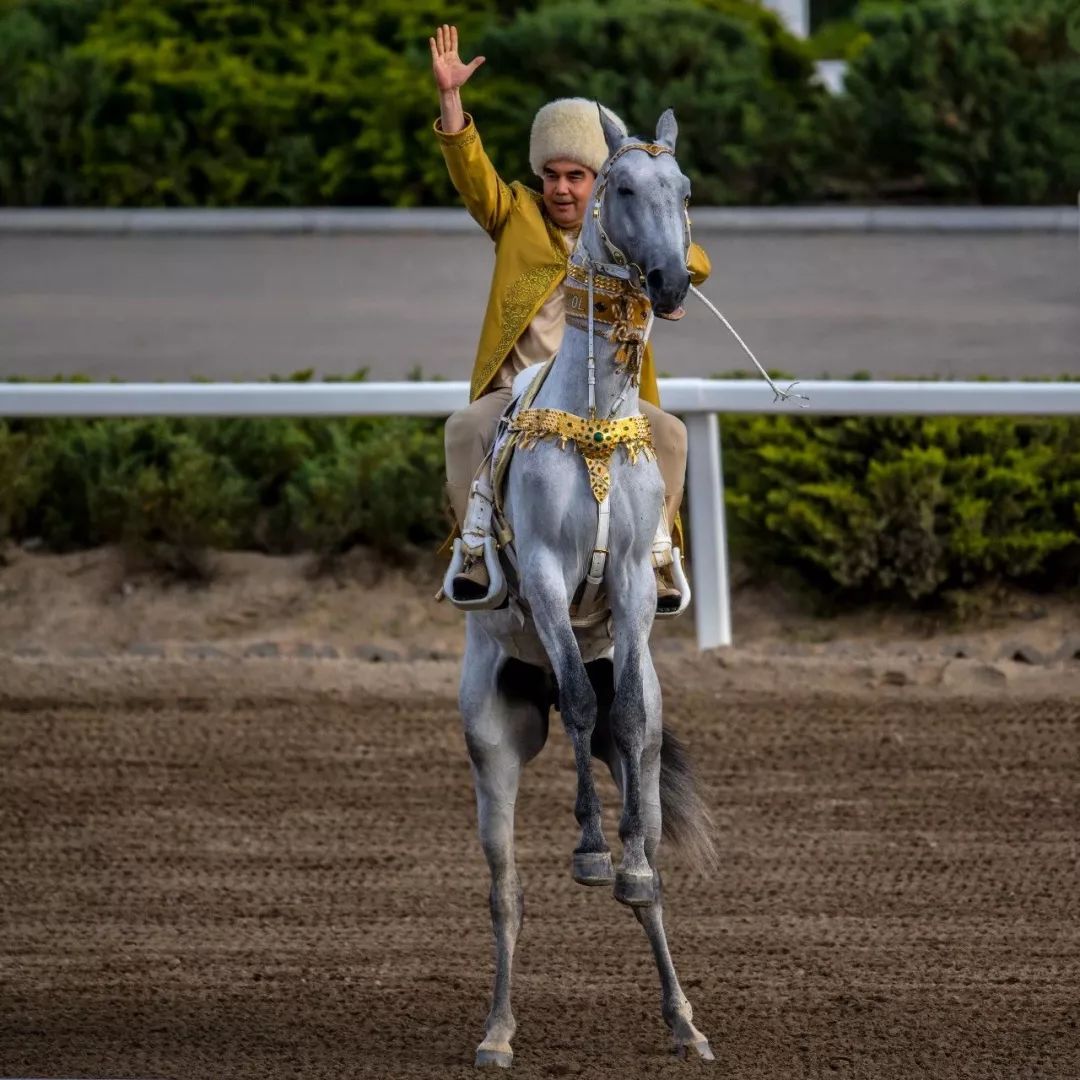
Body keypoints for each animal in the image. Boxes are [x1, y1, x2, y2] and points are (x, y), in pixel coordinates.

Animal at [457, 105, 717, 1067]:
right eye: (625, 187)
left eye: (684, 189)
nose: (673, 280)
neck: (597, 424)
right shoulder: (541, 574)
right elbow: (574, 694)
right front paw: (592, 849)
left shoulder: (633, 593)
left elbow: (625, 710)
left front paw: (631, 860)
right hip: (491, 743)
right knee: (505, 893)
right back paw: (496, 1032)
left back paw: (684, 1019)